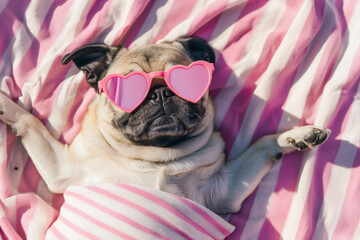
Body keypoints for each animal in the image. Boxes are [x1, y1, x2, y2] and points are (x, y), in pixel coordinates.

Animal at [0, 37, 330, 214]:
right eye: (128, 88)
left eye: (186, 80)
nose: (160, 92)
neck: (156, 159)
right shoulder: (64, 171)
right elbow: (31, 120)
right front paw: (7, 105)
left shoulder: (225, 191)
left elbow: (262, 144)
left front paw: (298, 135)